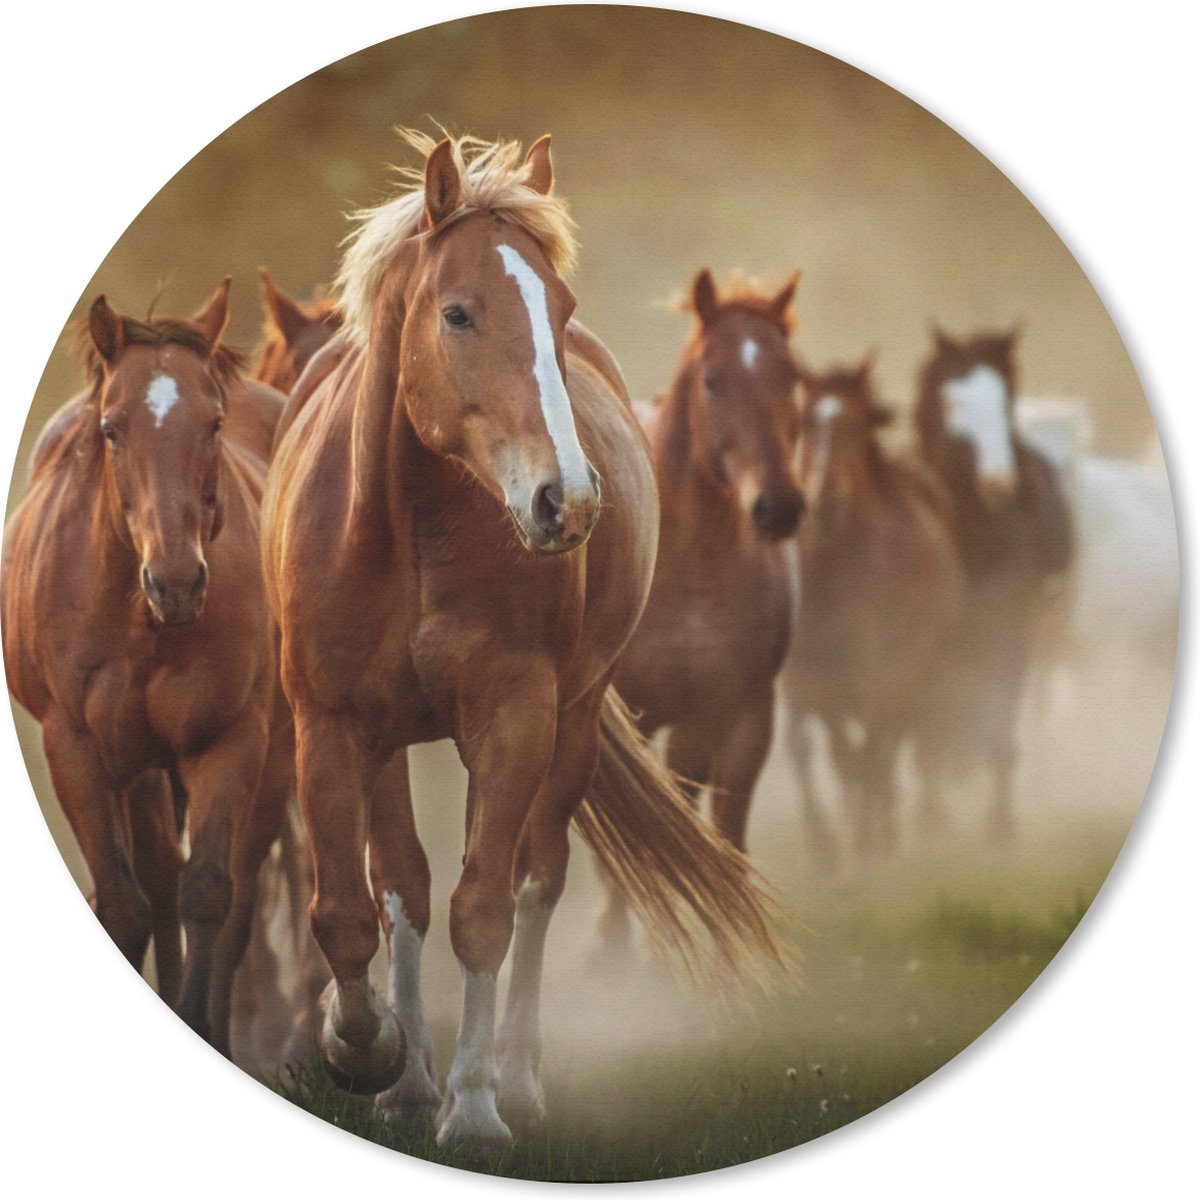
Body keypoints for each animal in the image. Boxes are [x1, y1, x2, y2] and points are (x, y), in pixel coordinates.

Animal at [3, 281, 293, 1055]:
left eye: (213, 423)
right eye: (112, 429)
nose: (177, 582)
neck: (143, 621)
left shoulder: (230, 740)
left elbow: (211, 893)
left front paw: (199, 1021)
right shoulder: (77, 746)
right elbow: (126, 903)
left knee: (231, 894)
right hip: (136, 764)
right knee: (156, 879)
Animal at [261, 131, 778, 1149]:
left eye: (559, 309)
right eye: (458, 312)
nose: (565, 500)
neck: (411, 530)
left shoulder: (513, 719)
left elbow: (487, 910)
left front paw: (474, 1108)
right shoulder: (329, 725)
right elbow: (354, 909)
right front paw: (367, 1051)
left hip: (567, 724)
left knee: (533, 881)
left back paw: (513, 1078)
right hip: (392, 743)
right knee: (405, 886)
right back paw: (408, 1082)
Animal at [778, 356, 964, 866]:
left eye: (857, 425)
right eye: (801, 424)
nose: (825, 500)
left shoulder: (896, 671)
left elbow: (876, 754)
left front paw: (871, 842)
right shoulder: (819, 681)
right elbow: (845, 758)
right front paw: (846, 847)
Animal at [912, 328, 1074, 838]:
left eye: (1006, 402)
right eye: (951, 400)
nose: (999, 483)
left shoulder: (1015, 620)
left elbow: (1001, 707)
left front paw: (1000, 821)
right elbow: (932, 712)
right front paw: (931, 811)